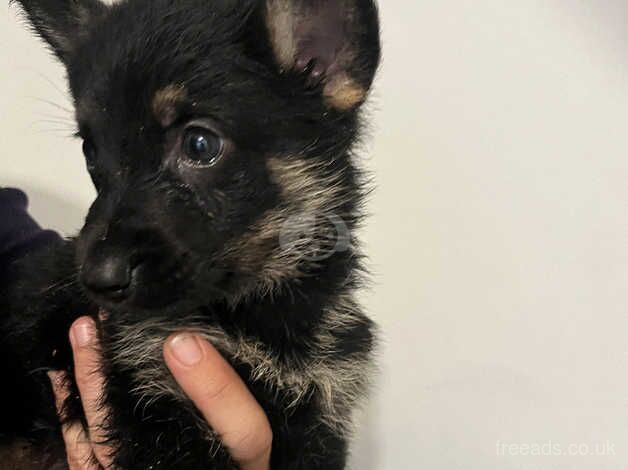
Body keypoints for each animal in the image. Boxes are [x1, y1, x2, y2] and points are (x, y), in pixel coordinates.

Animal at [0, 0, 380, 468]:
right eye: (91, 151)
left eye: (200, 144)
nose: (96, 280)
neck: (260, 310)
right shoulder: (155, 396)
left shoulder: (323, 410)